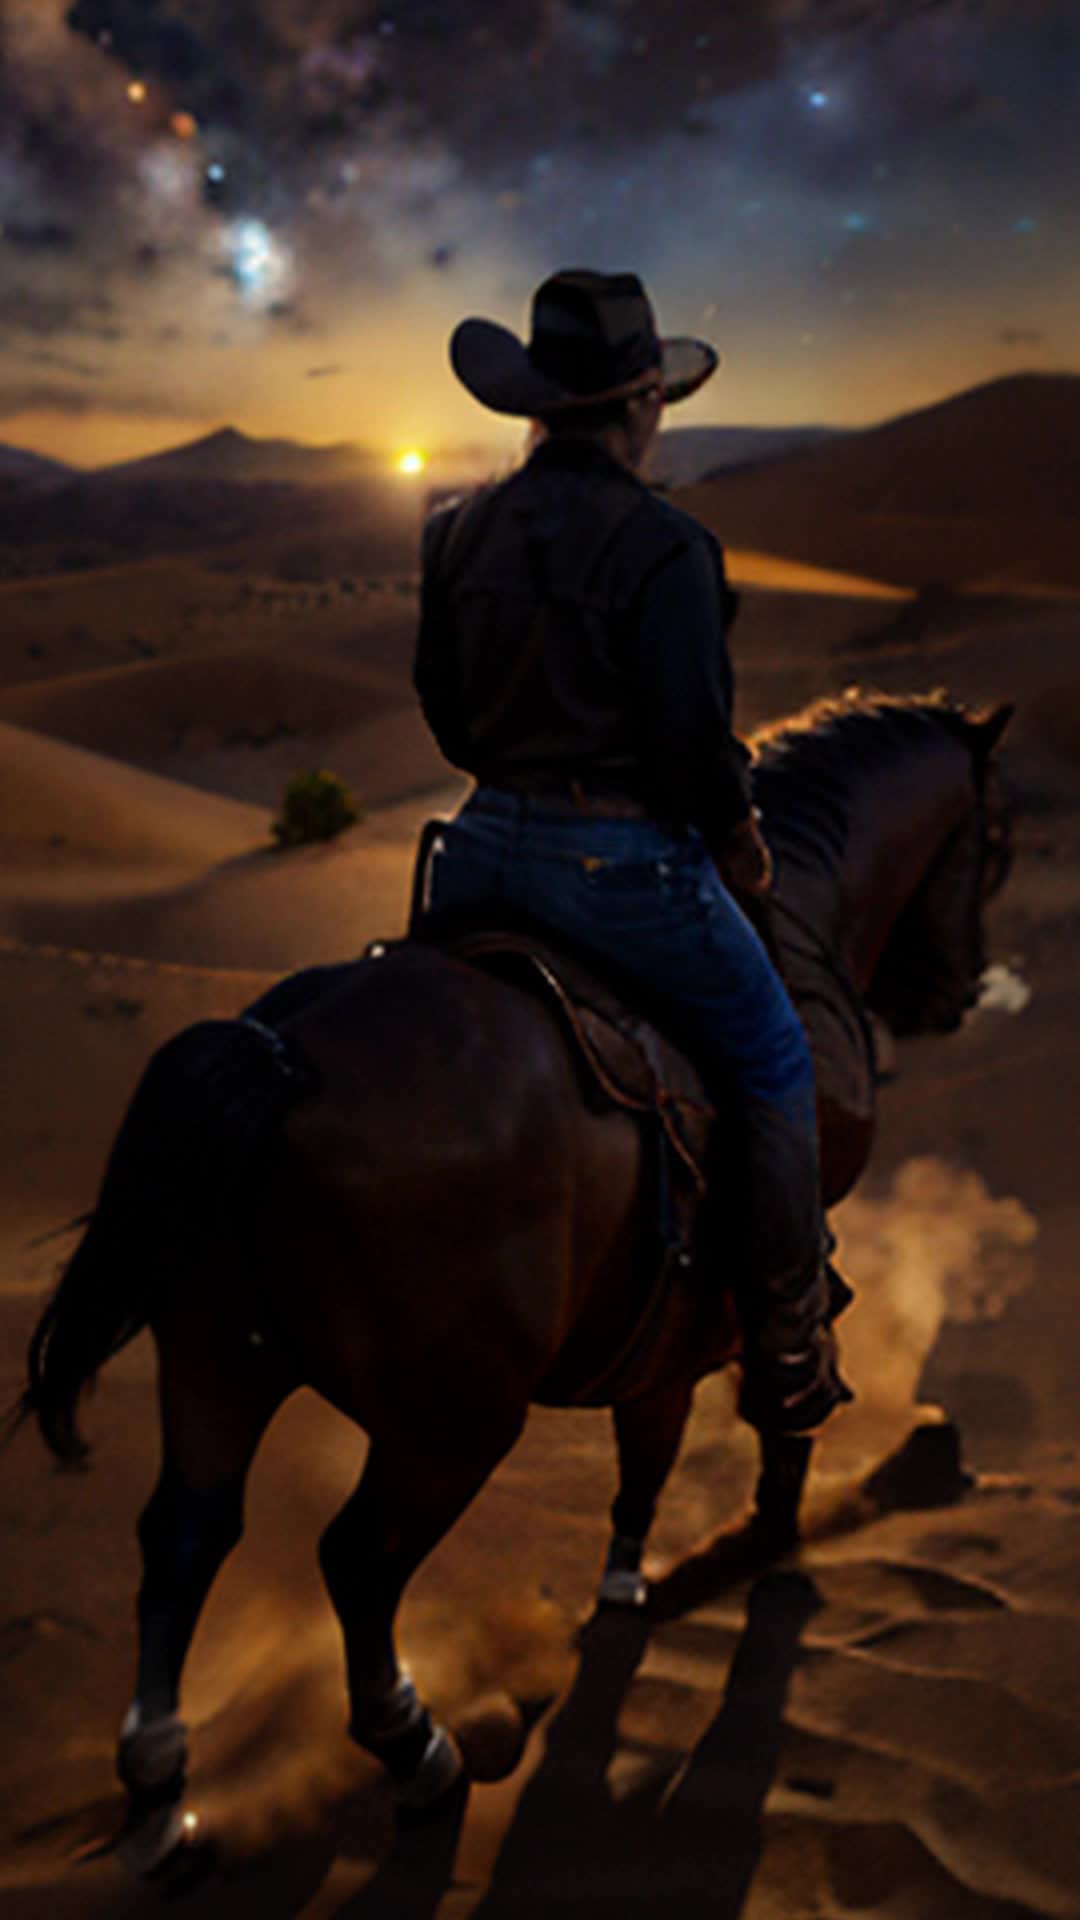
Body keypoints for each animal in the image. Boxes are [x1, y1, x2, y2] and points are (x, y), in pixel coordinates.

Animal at [10, 691, 1006, 1873]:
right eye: (994, 845)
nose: (953, 994)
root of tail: (280, 1058)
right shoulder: (776, 1235)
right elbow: (779, 1360)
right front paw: (771, 1514)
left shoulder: (667, 1312)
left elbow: (652, 1438)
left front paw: (630, 1574)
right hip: (451, 1423)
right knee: (357, 1560)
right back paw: (418, 1752)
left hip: (215, 1362)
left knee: (185, 1536)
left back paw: (163, 1793)